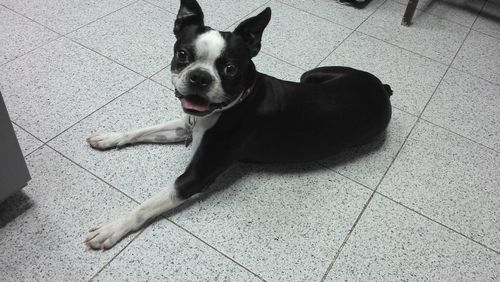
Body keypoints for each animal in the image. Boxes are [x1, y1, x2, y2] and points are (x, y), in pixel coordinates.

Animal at [84, 0, 392, 250]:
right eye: (183, 55)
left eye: (230, 68)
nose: (199, 77)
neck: (234, 102)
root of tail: (383, 89)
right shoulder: (185, 125)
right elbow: (143, 130)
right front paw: (108, 137)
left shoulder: (196, 176)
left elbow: (148, 204)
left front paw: (112, 228)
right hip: (311, 75)